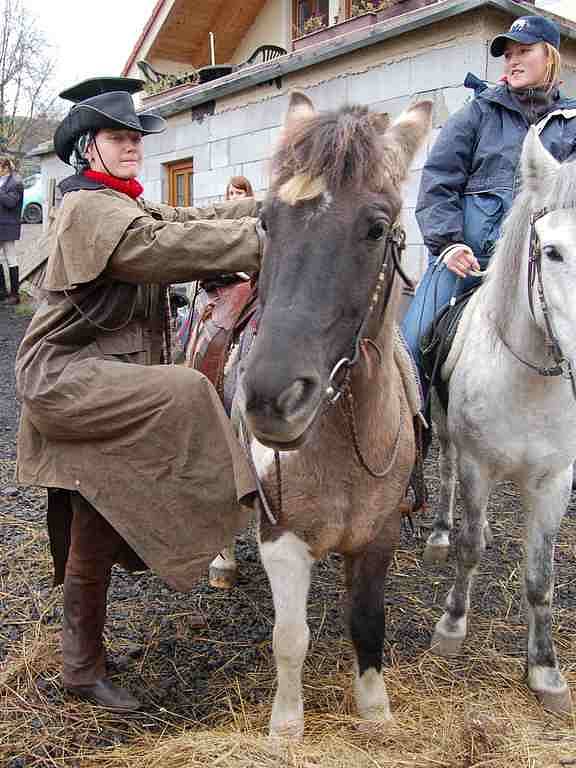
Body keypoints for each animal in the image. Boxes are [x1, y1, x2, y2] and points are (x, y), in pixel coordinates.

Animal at [235, 94, 432, 736]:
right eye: (266, 221)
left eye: (376, 228)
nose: (270, 397)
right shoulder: (282, 539)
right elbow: (290, 637)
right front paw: (286, 728)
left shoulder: (379, 536)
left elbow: (368, 623)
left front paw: (375, 713)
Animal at [424, 130, 576, 712]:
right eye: (550, 251)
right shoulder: (477, 466)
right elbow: (471, 548)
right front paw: (451, 625)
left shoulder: (555, 481)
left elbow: (540, 576)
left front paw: (546, 670)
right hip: (445, 431)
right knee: (444, 476)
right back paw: (439, 534)